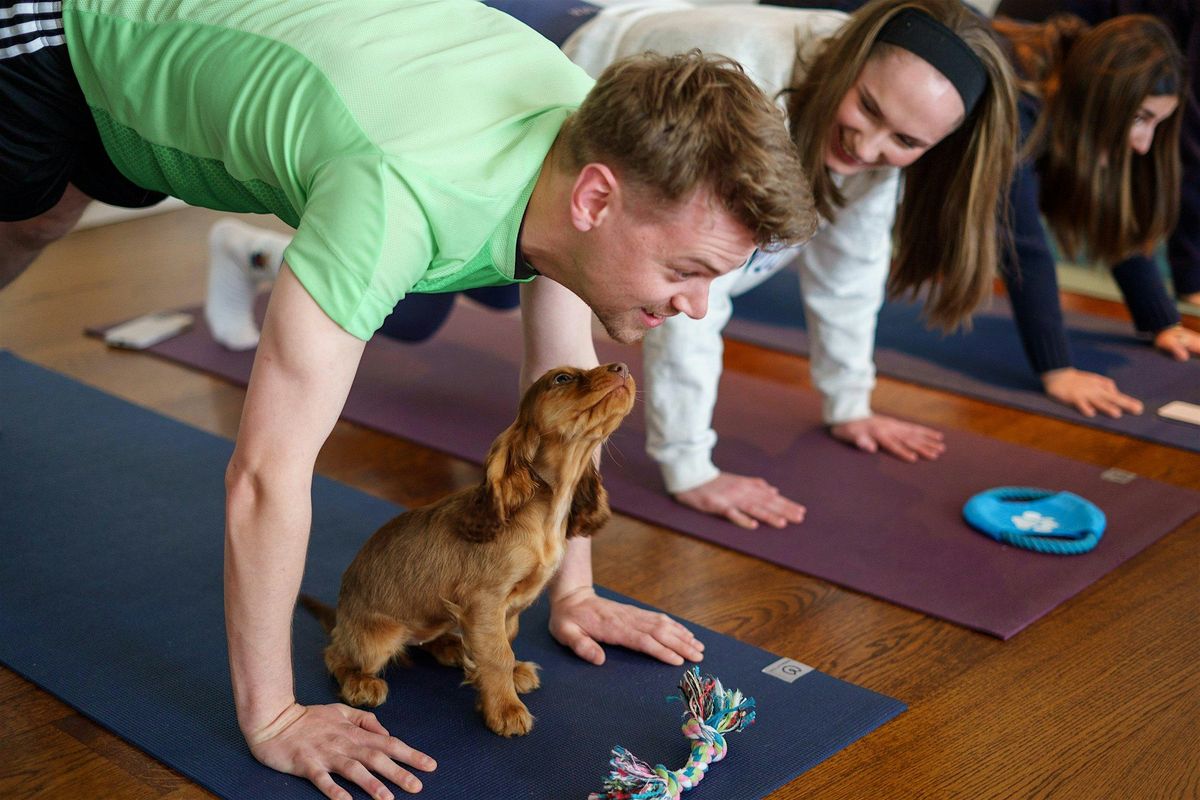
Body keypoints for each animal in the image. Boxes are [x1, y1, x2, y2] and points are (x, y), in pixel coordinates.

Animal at [300, 362, 638, 738]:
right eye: (562, 378)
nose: (623, 367)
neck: (544, 509)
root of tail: (341, 616)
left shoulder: (505, 607)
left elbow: (505, 641)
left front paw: (511, 675)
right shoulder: (485, 600)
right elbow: (497, 655)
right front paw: (505, 709)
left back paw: (452, 646)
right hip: (378, 639)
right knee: (335, 654)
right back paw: (360, 682)